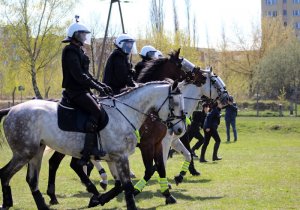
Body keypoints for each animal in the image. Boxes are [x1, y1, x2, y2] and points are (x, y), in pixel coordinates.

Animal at [0, 81, 185, 210]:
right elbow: (127, 185)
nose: (180, 129)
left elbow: (120, 185)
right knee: (5, 173)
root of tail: (12, 110)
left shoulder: (113, 158)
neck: (124, 113)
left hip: (36, 152)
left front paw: (99, 199)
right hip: (24, 153)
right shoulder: (122, 156)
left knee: (33, 179)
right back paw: (8, 203)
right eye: (174, 102)